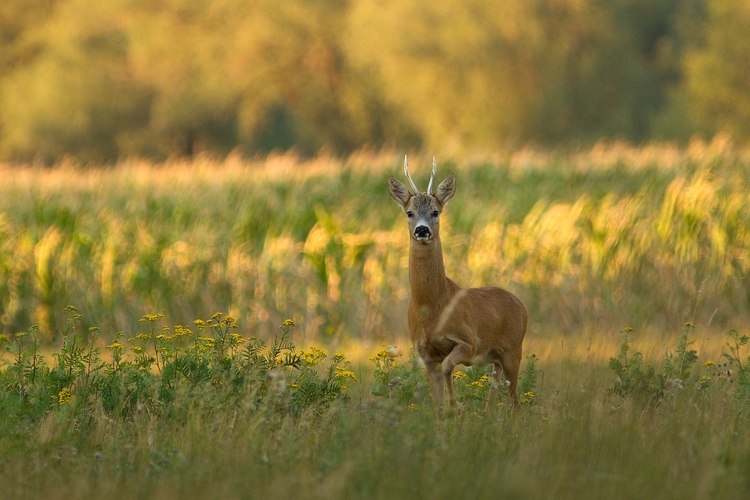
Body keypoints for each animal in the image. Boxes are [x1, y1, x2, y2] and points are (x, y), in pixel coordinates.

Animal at [388, 157, 528, 410]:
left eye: (435, 211)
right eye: (409, 212)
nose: (421, 230)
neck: (431, 307)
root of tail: (521, 305)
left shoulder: (469, 341)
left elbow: (448, 367)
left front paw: (457, 405)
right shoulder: (425, 354)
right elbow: (438, 405)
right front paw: (451, 408)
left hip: (514, 349)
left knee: (515, 402)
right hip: (496, 357)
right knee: (496, 389)